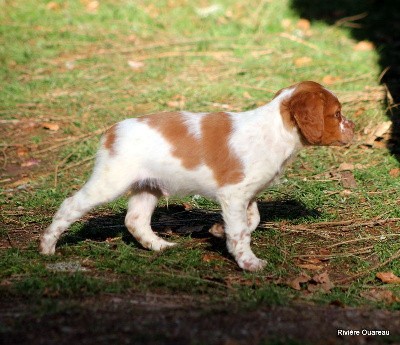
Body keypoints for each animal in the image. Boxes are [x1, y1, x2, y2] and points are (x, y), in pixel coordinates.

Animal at [39, 82, 354, 270]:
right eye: (337, 114)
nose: (354, 128)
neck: (275, 130)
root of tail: (111, 131)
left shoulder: (247, 194)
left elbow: (251, 221)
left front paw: (217, 231)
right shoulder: (233, 193)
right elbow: (241, 232)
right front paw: (249, 262)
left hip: (148, 187)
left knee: (135, 220)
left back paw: (160, 246)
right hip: (110, 182)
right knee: (70, 205)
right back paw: (47, 247)